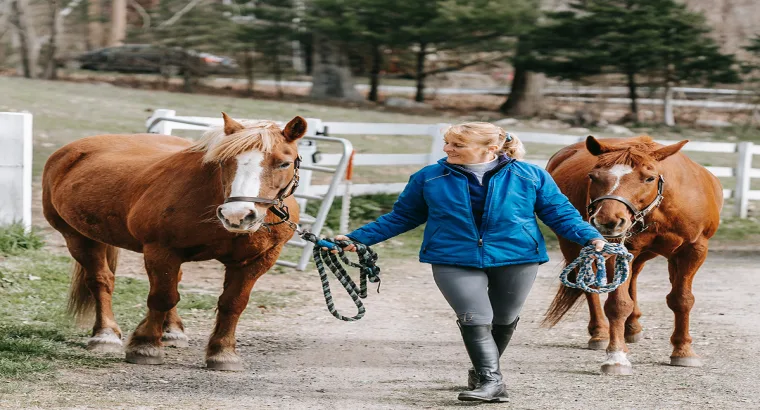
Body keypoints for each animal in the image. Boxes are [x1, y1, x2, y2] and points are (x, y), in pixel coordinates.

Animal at [42, 113, 306, 370]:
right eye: (224, 161)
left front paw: (223, 353)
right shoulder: (161, 250)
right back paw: (105, 335)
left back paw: (172, 332)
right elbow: (162, 297)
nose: (237, 215)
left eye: (284, 163)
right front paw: (146, 346)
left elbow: (233, 303)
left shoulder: (256, 260)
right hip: (79, 238)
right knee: (101, 281)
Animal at [542, 135, 723, 375]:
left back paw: (632, 326)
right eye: (593, 176)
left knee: (634, 277)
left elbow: (682, 299)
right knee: (591, 288)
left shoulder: (694, 250)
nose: (607, 221)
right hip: (573, 247)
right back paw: (600, 332)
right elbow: (618, 303)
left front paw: (683, 350)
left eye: (649, 178)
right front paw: (616, 356)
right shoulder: (615, 247)